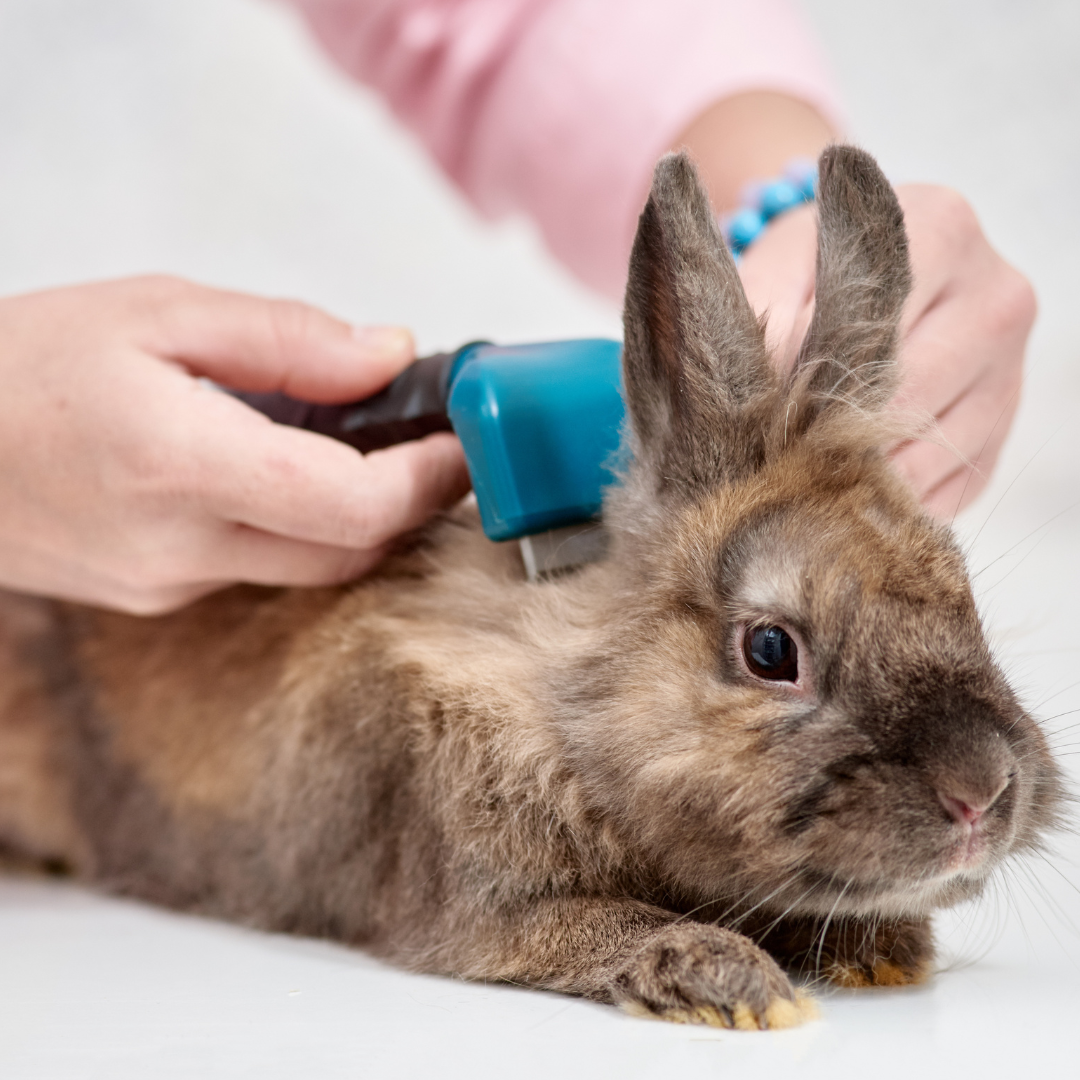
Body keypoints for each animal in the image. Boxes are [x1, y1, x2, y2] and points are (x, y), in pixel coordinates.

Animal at [0, 143, 1062, 1028]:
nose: (983, 793)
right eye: (771, 650)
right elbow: (591, 929)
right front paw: (730, 982)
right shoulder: (480, 901)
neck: (564, 695)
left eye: (960, 592)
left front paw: (883, 951)